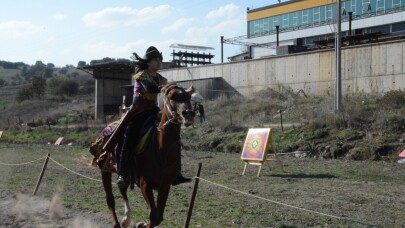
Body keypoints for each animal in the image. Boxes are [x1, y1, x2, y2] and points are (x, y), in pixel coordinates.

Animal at [96, 83, 194, 228]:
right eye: (172, 97)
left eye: (188, 97)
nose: (189, 114)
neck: (161, 150)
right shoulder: (145, 184)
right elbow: (153, 216)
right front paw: (140, 224)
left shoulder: (165, 186)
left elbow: (158, 217)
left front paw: (140, 224)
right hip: (105, 169)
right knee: (110, 199)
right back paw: (118, 222)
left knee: (122, 188)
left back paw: (126, 218)